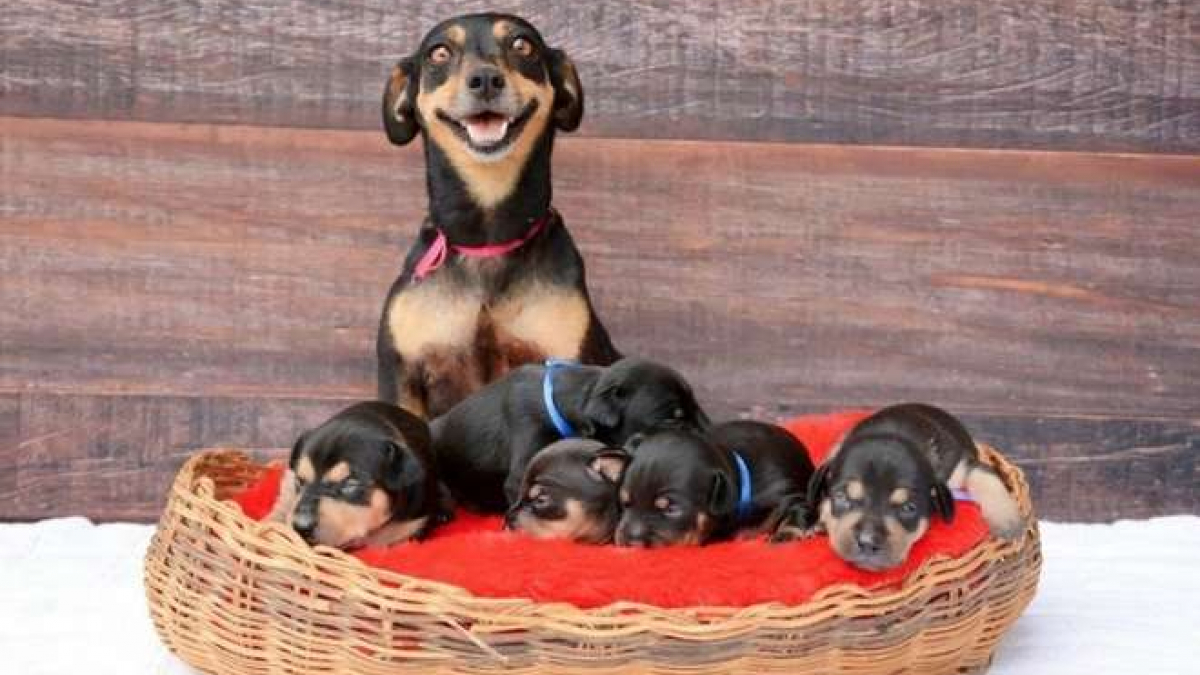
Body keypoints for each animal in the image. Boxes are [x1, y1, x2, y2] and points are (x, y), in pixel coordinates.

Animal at [614, 420, 811, 547]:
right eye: (625, 503)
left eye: (671, 509)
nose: (629, 542)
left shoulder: (786, 495)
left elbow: (797, 510)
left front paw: (786, 534)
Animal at [777, 403, 1032, 566]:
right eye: (841, 497)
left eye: (909, 508)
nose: (868, 543)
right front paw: (813, 524)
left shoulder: (963, 465)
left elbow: (986, 476)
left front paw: (1008, 522)